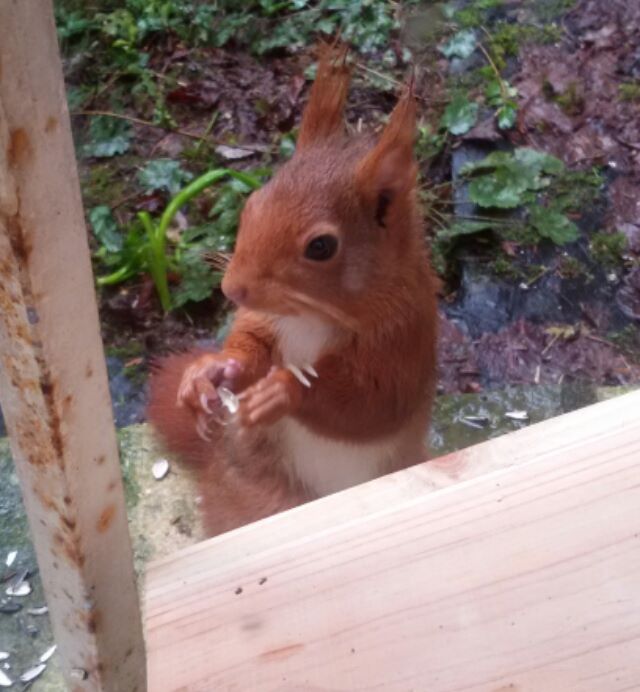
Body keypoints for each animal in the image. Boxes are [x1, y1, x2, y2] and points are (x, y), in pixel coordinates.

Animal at [148, 44, 440, 536]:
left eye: (321, 247)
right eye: (253, 202)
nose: (233, 289)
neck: (312, 316)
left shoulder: (405, 340)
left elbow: (372, 403)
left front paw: (283, 392)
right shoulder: (268, 321)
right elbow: (249, 347)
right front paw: (209, 372)